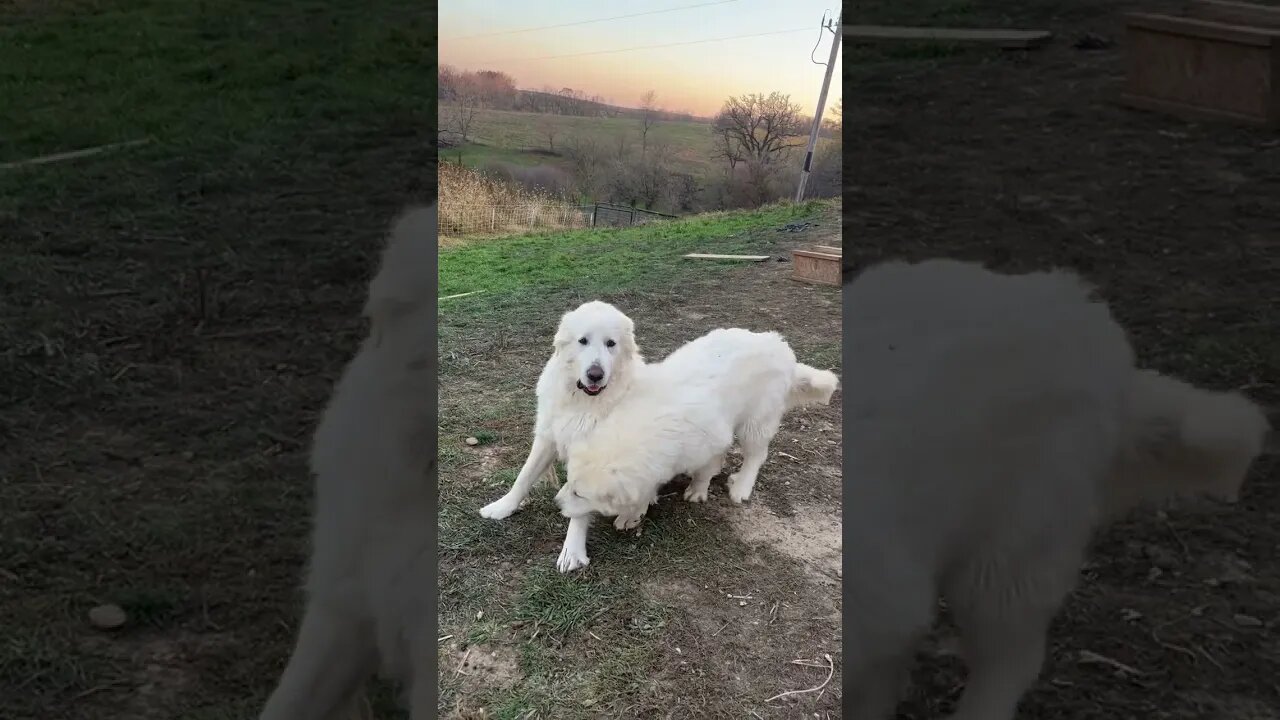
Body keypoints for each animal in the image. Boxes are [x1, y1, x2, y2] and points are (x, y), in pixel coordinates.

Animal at [552, 327, 839, 568]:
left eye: (580, 494)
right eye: (569, 483)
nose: (557, 504)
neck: (649, 426)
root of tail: (776, 342)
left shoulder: (711, 441)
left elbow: (705, 470)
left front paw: (697, 491)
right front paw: (636, 511)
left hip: (755, 422)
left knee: (756, 455)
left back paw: (742, 486)